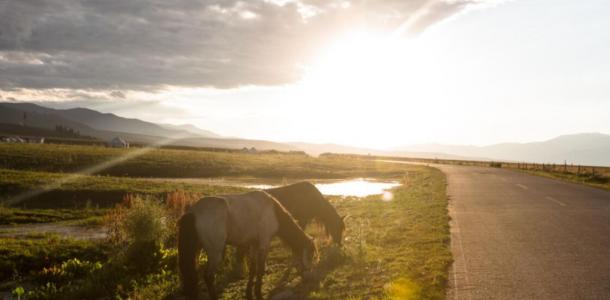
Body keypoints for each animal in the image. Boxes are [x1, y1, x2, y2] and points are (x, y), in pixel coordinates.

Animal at [177, 191, 316, 298]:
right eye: (310, 255)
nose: (309, 277)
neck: (273, 212)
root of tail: (193, 212)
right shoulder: (264, 243)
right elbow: (260, 269)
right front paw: (258, 292)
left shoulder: (254, 244)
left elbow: (253, 269)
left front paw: (249, 292)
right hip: (215, 253)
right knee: (209, 276)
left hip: (196, 251)